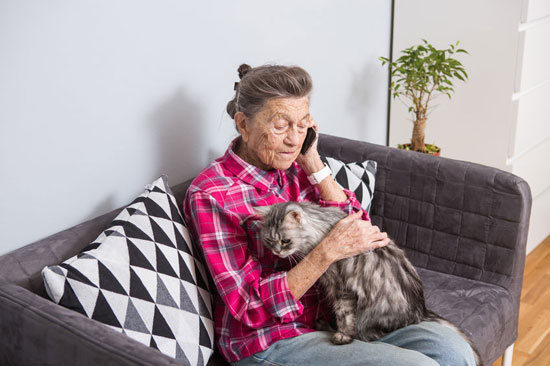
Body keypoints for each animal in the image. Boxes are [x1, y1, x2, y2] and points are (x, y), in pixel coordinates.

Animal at [254, 202, 484, 364]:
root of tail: (421, 310)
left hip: (367, 314)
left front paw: (342, 336)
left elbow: (344, 317)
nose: (277, 251)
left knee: (364, 333)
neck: (321, 229)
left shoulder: (342, 289)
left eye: (285, 241)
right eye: (269, 241)